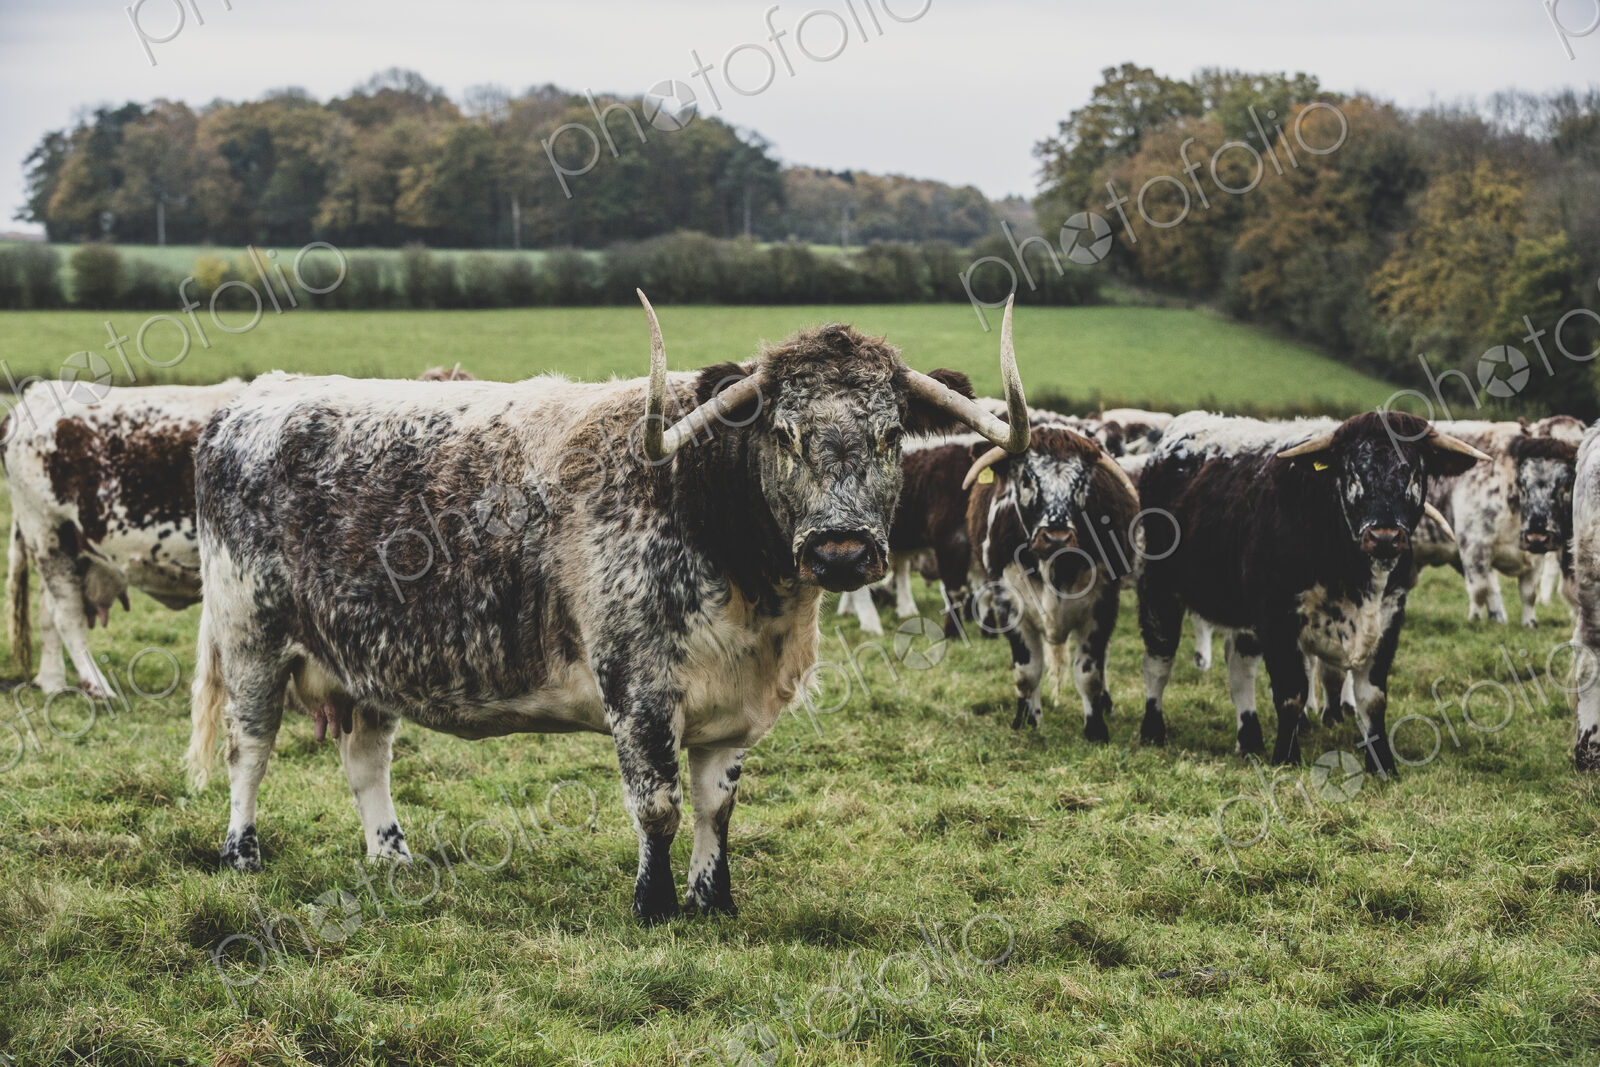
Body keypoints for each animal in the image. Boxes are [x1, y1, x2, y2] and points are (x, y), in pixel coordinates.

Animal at [3, 380, 246, 696]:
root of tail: (35, 394)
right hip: (46, 533)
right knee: (66, 617)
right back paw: (97, 686)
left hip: (61, 545)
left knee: (48, 613)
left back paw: (53, 683)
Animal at [183, 292, 1032, 923]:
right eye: (785, 432)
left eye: (891, 434)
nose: (843, 550)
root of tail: (248, 405)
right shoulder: (640, 690)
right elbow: (656, 805)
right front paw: (652, 904)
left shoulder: (732, 710)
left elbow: (715, 807)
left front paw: (713, 899)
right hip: (252, 636)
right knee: (249, 748)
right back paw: (242, 852)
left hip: (365, 657)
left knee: (365, 757)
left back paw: (393, 855)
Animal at [963, 425, 1139, 738]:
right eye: (1026, 478)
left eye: (1081, 483)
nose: (1057, 537)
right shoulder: (1010, 606)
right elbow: (1027, 671)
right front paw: (1027, 721)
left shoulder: (1103, 604)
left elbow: (1090, 673)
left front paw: (1096, 727)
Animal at [1134, 411, 1483, 768]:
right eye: (1351, 472)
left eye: (1414, 472)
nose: (1384, 537)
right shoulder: (1276, 618)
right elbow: (1291, 692)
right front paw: (1286, 757)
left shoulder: (1389, 618)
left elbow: (1372, 698)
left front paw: (1382, 763)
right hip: (1158, 589)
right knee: (1158, 661)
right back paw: (1152, 731)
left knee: (1240, 666)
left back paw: (1250, 739)